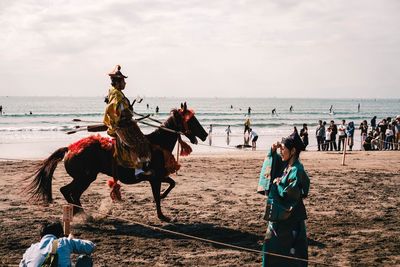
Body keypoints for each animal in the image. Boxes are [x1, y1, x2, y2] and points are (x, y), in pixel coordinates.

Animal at [27, 103, 209, 223]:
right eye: (191, 120)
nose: (205, 134)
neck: (158, 144)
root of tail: (70, 148)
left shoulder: (156, 177)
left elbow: (171, 184)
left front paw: (163, 201)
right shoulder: (154, 179)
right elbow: (158, 196)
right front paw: (162, 215)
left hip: (83, 178)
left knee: (70, 192)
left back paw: (81, 214)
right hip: (85, 178)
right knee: (69, 191)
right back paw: (83, 215)